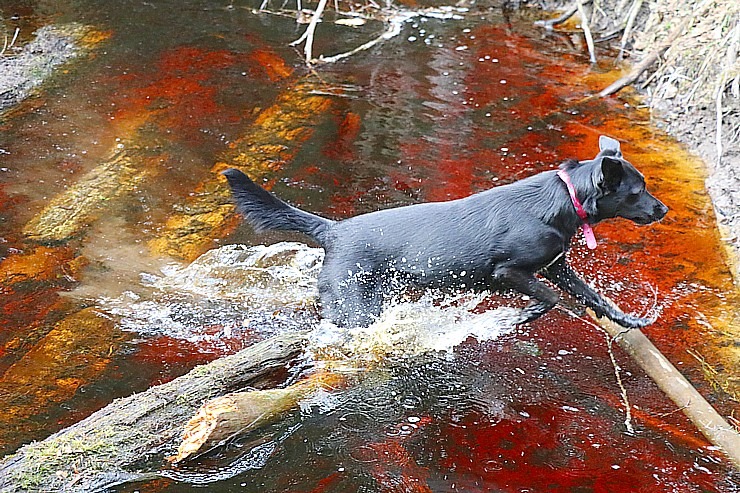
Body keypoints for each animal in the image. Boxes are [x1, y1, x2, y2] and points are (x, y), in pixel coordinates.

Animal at [223, 135, 668, 326]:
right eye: (637, 191)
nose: (663, 209)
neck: (564, 198)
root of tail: (333, 230)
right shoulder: (510, 271)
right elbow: (550, 299)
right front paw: (521, 317)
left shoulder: (558, 267)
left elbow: (592, 296)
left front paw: (629, 320)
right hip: (357, 302)